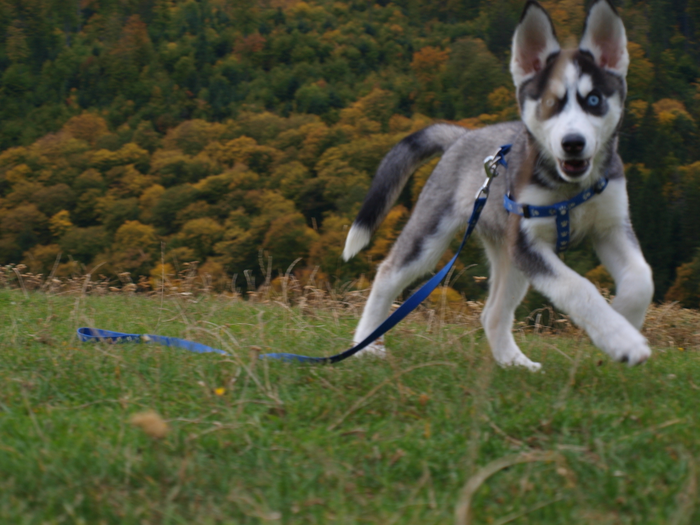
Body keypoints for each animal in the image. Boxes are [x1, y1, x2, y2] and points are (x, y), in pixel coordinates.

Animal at [342, 0, 652, 370]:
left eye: (594, 100)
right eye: (548, 103)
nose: (573, 144)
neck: (568, 189)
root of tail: (463, 135)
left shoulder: (610, 227)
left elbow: (641, 278)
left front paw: (624, 321)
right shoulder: (528, 244)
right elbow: (577, 288)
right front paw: (621, 338)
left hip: (508, 254)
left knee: (492, 314)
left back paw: (515, 363)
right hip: (433, 236)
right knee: (388, 272)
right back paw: (365, 343)